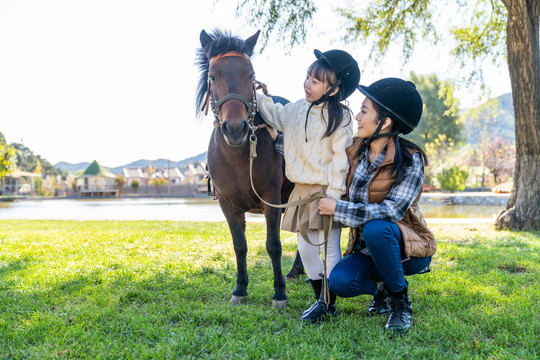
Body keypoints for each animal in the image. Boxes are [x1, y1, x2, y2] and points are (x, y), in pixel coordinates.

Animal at [195, 29, 296, 308]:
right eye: (212, 76)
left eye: (250, 75)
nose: (235, 128)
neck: (238, 159)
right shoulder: (227, 203)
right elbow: (239, 245)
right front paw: (240, 288)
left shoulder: (272, 200)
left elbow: (274, 245)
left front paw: (279, 293)